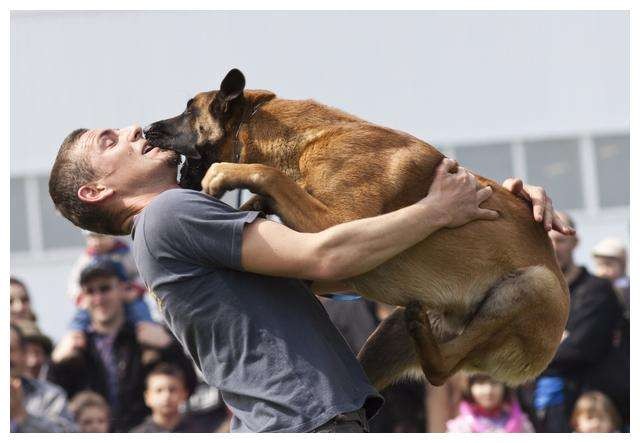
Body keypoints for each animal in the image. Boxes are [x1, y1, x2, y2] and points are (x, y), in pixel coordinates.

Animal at [145, 67, 568, 390]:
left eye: (188, 110)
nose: (148, 129)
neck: (304, 143)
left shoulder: (340, 223)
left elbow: (268, 176)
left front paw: (227, 178)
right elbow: (270, 194)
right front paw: (252, 204)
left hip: (533, 285)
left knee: (440, 370)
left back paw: (425, 336)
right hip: (387, 335)